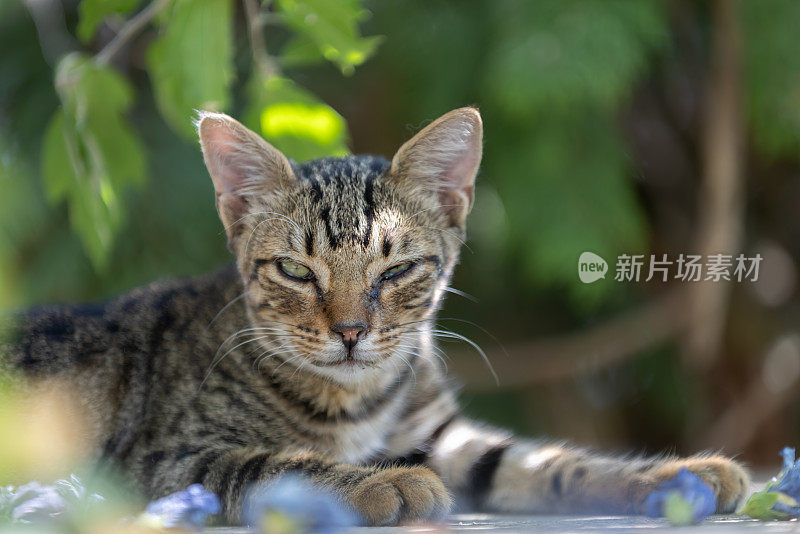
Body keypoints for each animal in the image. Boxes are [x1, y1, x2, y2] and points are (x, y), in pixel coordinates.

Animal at [1, 107, 752, 524]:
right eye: (297, 272)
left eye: (395, 272)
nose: (350, 332)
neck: (359, 398)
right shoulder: (165, 460)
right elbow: (276, 464)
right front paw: (384, 481)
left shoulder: (442, 432)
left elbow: (545, 461)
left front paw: (674, 478)